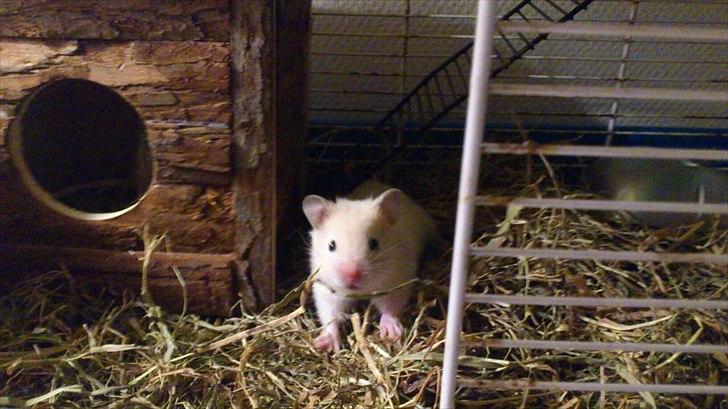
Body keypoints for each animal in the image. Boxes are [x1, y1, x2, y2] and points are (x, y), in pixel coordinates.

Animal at [302, 180, 437, 352]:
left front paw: (392, 334)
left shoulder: (396, 283)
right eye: (331, 245)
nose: (352, 276)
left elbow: (390, 307)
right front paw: (323, 344)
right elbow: (330, 317)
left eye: (374, 244)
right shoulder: (326, 290)